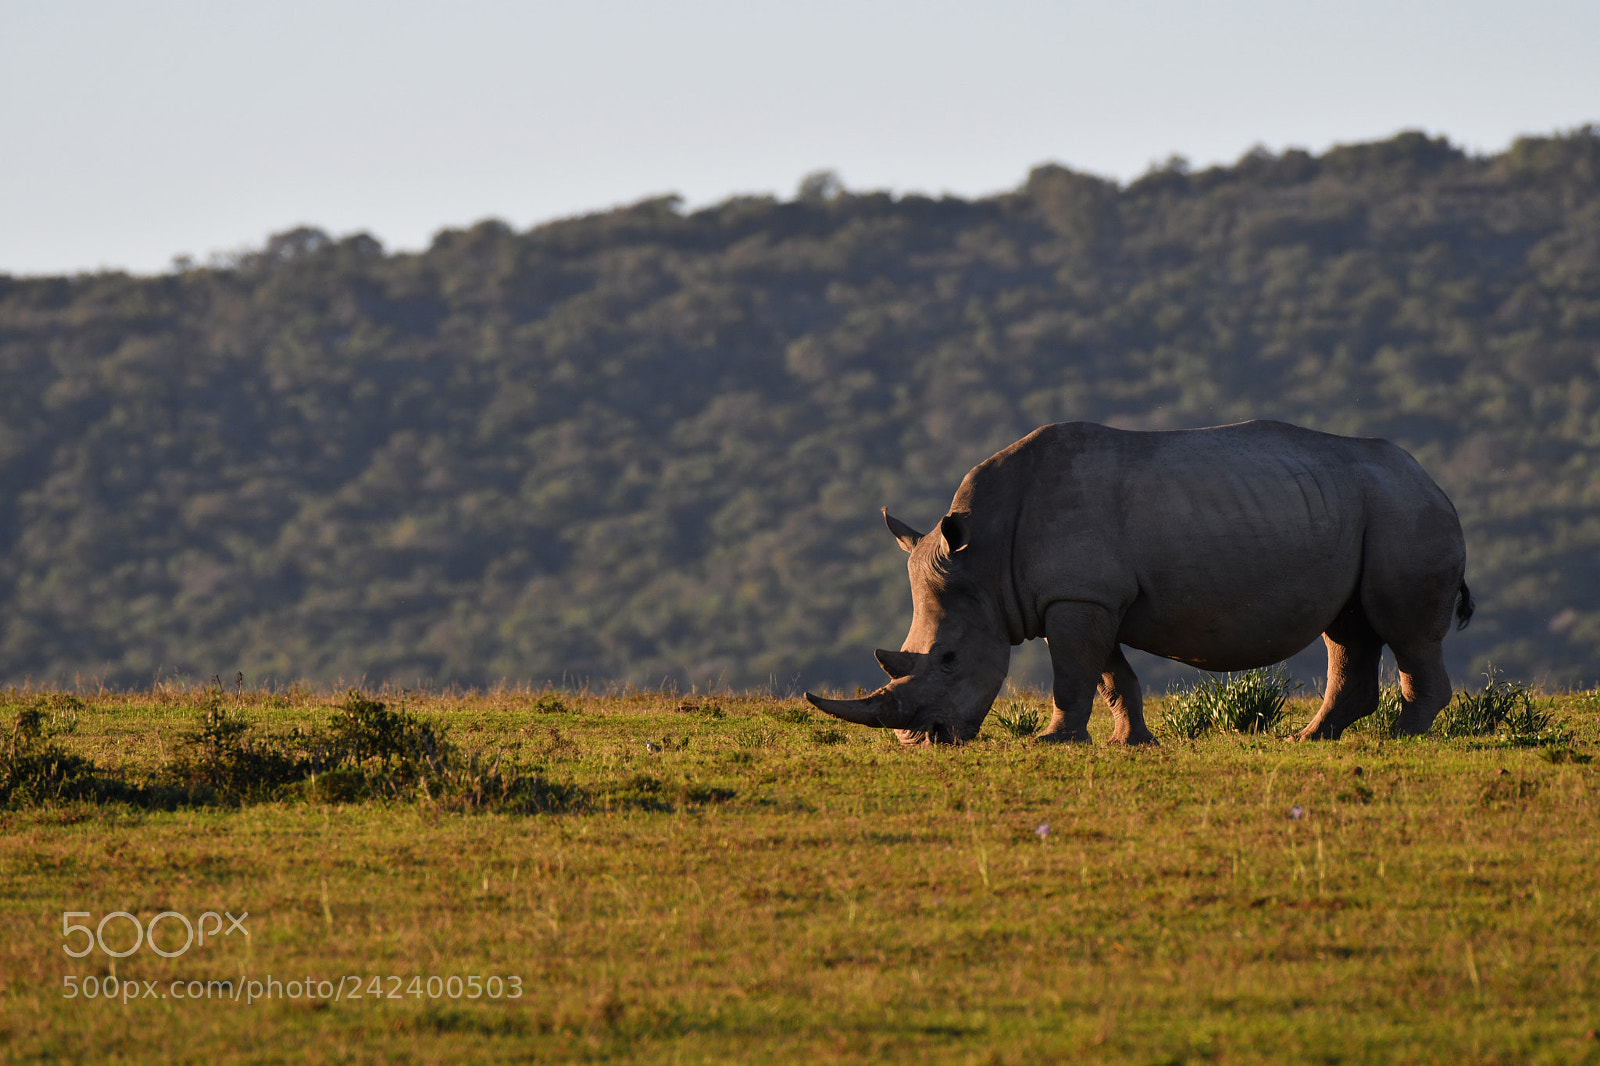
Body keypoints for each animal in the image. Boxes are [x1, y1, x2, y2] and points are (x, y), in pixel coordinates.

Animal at [805, 420, 1472, 745]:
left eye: (947, 659)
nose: (921, 742)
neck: (984, 558)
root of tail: (1433, 480)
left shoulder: (1078, 597)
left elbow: (1073, 674)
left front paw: (1051, 743)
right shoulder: (1087, 598)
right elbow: (1108, 675)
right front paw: (1132, 743)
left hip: (1404, 510)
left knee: (1403, 631)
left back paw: (1401, 739)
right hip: (1354, 508)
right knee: (1348, 630)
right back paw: (1309, 740)